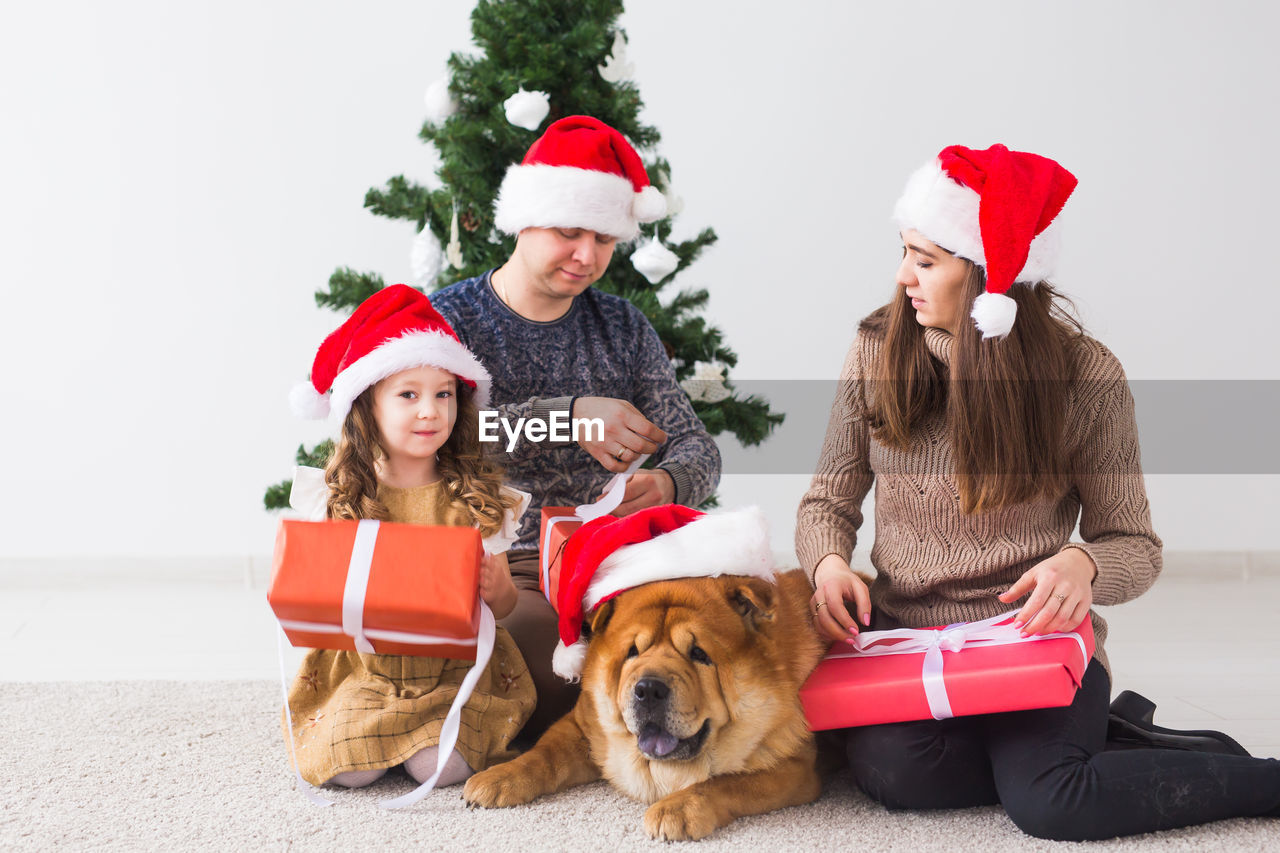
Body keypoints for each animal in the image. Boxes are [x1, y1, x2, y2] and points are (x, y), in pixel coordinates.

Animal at [463, 563, 819, 835]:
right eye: (633, 651)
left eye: (699, 653)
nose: (648, 689)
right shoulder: (581, 726)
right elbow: (542, 756)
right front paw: (495, 778)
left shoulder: (796, 764)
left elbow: (727, 781)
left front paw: (677, 810)